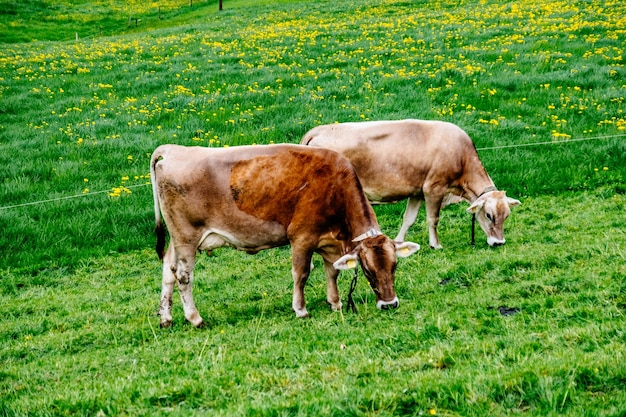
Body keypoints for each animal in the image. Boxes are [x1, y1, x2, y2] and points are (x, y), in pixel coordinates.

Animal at [149, 143, 416, 328]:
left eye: (394, 266)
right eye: (368, 270)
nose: (390, 304)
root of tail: (173, 149)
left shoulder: (328, 241)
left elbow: (333, 271)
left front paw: (335, 302)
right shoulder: (302, 237)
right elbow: (301, 274)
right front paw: (301, 310)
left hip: (177, 239)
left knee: (168, 271)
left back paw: (166, 318)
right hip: (187, 237)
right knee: (183, 276)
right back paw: (195, 318)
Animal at [300, 118, 520, 249]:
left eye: (507, 215)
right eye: (489, 215)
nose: (499, 242)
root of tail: (317, 130)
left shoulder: (417, 192)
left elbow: (409, 219)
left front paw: (399, 241)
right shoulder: (434, 188)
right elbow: (433, 218)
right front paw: (435, 244)